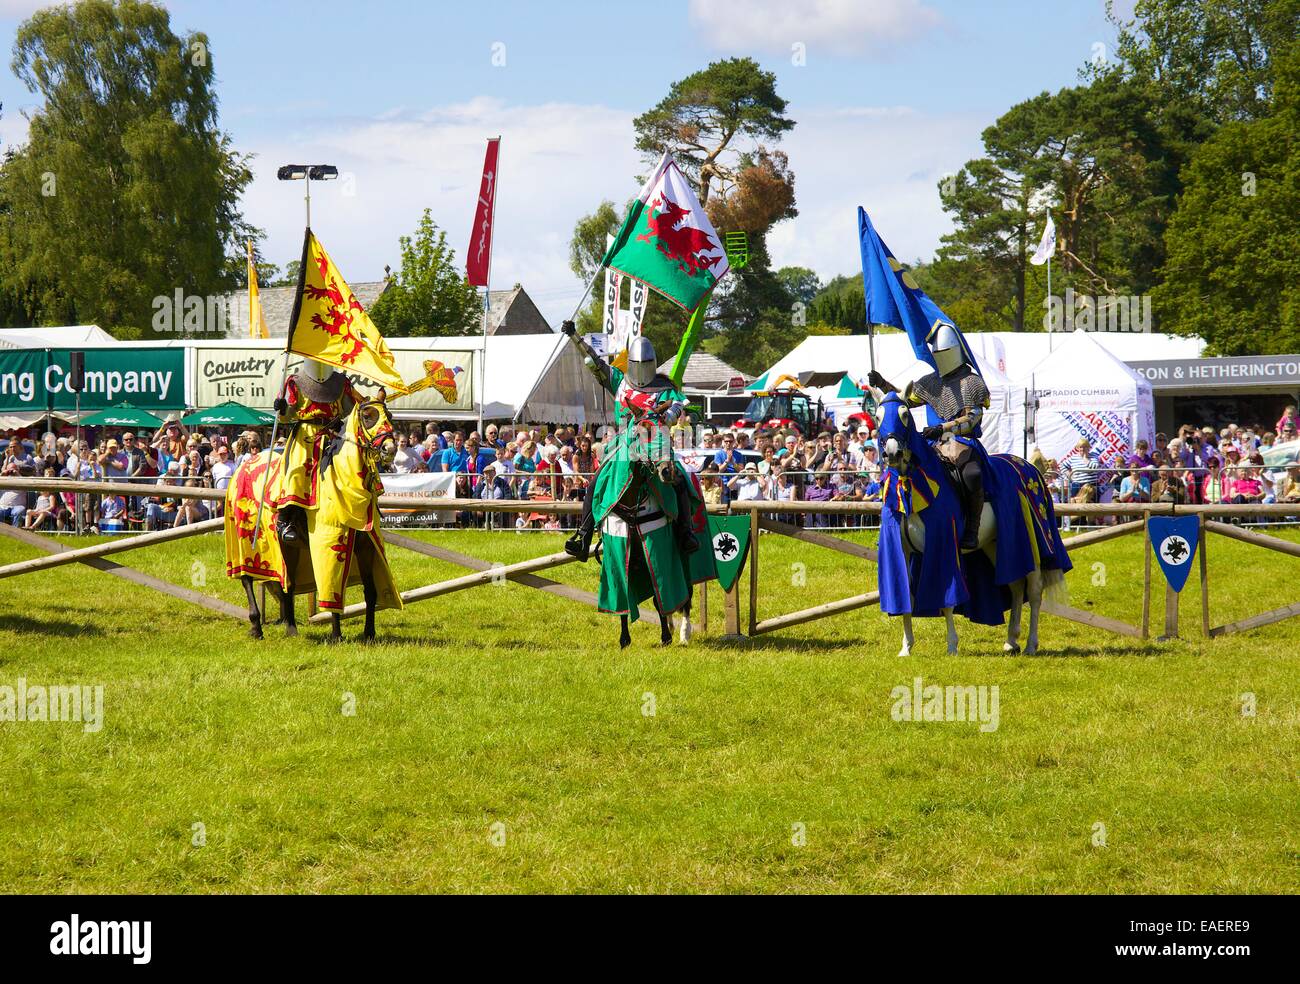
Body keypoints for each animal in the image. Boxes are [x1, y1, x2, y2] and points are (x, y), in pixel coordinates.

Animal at [226, 395, 403, 642]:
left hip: (288, 548)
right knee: (247, 579)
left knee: (287, 583)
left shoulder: (367, 548)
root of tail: (244, 466)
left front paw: (369, 633)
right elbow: (331, 587)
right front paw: (336, 635)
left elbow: (370, 590)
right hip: (246, 542)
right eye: (368, 416)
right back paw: (256, 625)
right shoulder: (329, 544)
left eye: (391, 416)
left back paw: (291, 627)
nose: (389, 449)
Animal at [868, 387, 1071, 655]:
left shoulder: (942, 545)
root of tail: (1028, 466)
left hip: (1033, 540)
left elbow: (946, 601)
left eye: (904, 415)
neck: (911, 486)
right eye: (877, 415)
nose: (892, 452)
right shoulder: (900, 550)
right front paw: (907, 647)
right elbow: (906, 599)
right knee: (1016, 585)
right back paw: (1011, 640)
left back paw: (1030, 644)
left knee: (1034, 589)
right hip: (996, 545)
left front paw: (952, 646)